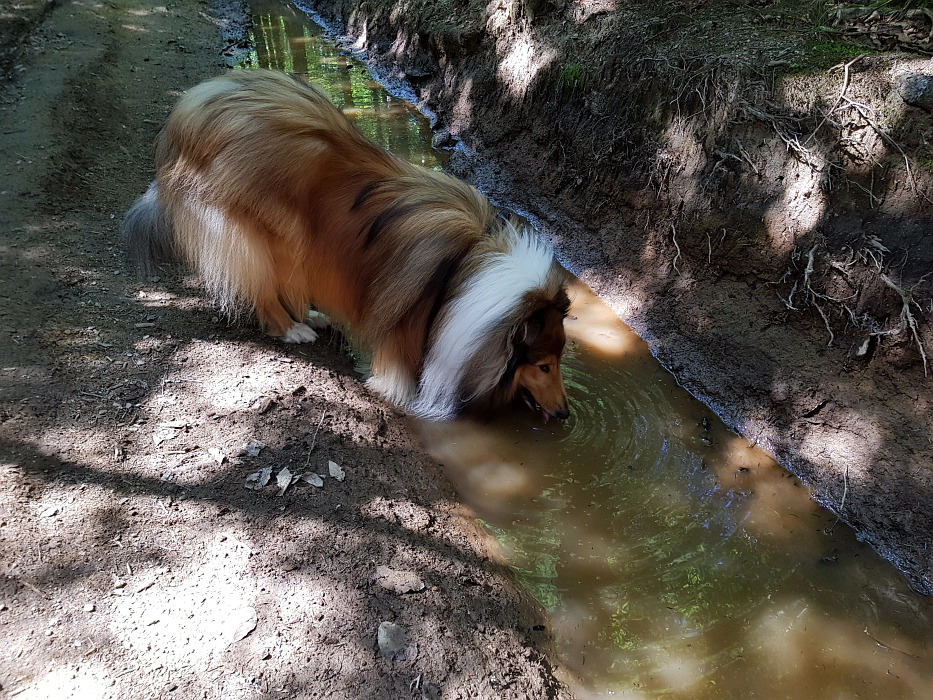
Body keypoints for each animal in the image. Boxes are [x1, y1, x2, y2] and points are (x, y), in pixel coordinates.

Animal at [120, 69, 572, 422]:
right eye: (544, 366)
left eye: (559, 362)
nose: (567, 413)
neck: (467, 268)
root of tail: (189, 111)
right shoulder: (409, 325)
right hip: (261, 232)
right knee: (262, 286)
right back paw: (291, 328)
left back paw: (312, 316)